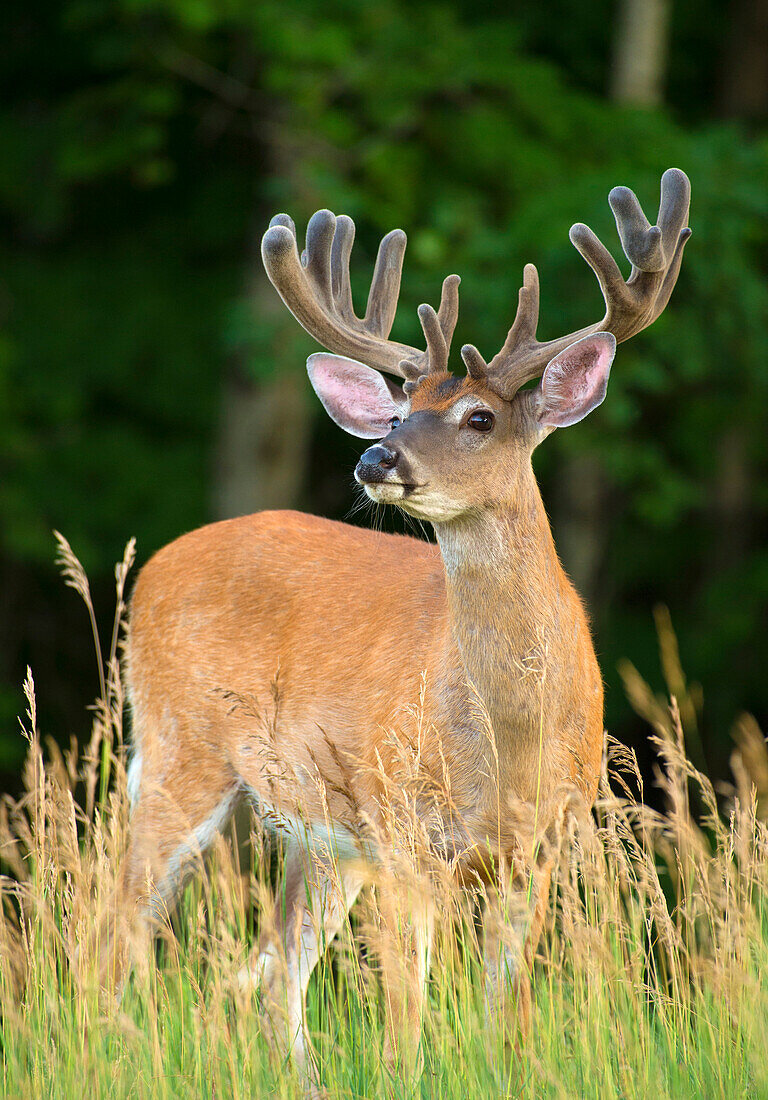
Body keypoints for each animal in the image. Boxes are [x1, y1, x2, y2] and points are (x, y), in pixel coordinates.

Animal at [104, 169, 690, 1082]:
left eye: (480, 417)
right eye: (394, 412)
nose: (377, 457)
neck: (509, 743)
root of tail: (158, 562)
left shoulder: (539, 849)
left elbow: (503, 1023)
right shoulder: (406, 835)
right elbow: (406, 1028)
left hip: (322, 834)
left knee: (269, 983)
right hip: (182, 746)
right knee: (115, 933)